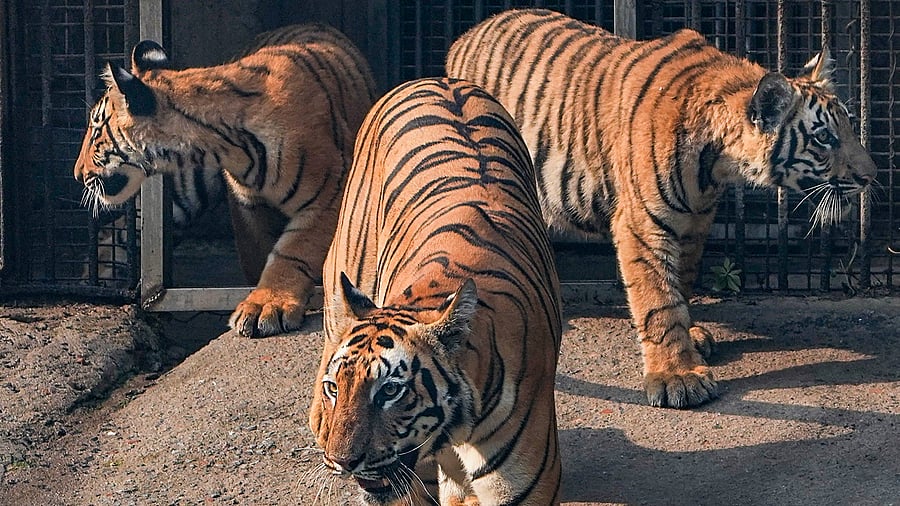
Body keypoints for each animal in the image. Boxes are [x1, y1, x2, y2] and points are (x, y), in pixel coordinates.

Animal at [73, 23, 377, 337]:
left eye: (96, 131)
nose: (77, 174)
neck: (221, 145)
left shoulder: (330, 193)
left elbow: (294, 252)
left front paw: (269, 305)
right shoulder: (246, 205)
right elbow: (259, 252)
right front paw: (259, 301)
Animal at [446, 9, 877, 409]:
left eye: (849, 126)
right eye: (824, 137)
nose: (871, 176)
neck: (718, 162)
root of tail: (466, 35)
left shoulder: (695, 221)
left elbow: (680, 283)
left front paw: (691, 337)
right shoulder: (643, 224)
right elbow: (657, 300)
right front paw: (677, 376)